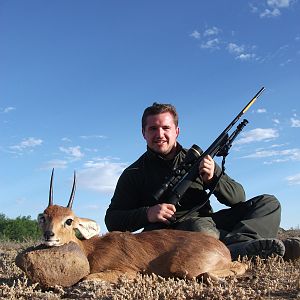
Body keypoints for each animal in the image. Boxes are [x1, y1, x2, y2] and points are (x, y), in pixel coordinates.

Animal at [37, 170, 247, 282]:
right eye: (44, 217)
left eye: (69, 220)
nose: (49, 235)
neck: (91, 250)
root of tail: (222, 249)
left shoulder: (127, 271)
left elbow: (87, 277)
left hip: (185, 267)